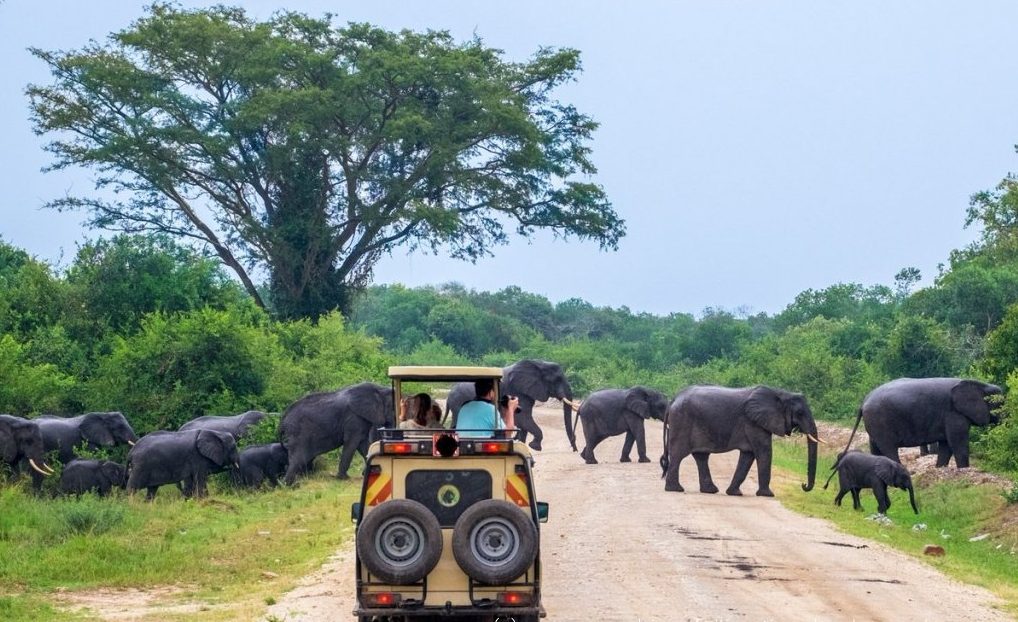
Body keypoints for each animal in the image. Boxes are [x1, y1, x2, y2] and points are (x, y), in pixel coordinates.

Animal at [445, 359, 575, 451]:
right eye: (557, 379)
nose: (574, 448)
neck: (539, 364)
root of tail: (449, 395)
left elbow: (523, 420)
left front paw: (521, 443)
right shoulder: (518, 391)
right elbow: (523, 418)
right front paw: (534, 446)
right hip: (458, 402)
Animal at [660, 385, 819, 496]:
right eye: (800, 413)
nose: (803, 485)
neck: (780, 393)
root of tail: (674, 399)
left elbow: (748, 455)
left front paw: (734, 493)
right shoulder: (753, 423)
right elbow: (764, 451)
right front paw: (768, 495)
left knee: (701, 456)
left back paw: (710, 490)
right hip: (682, 422)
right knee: (678, 455)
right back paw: (675, 489)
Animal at [840, 377, 1002, 468]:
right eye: (999, 404)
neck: (980, 384)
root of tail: (864, 402)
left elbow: (946, 445)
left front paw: (940, 469)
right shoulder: (954, 413)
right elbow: (957, 443)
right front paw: (963, 470)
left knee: (875, 448)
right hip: (880, 422)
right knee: (888, 448)